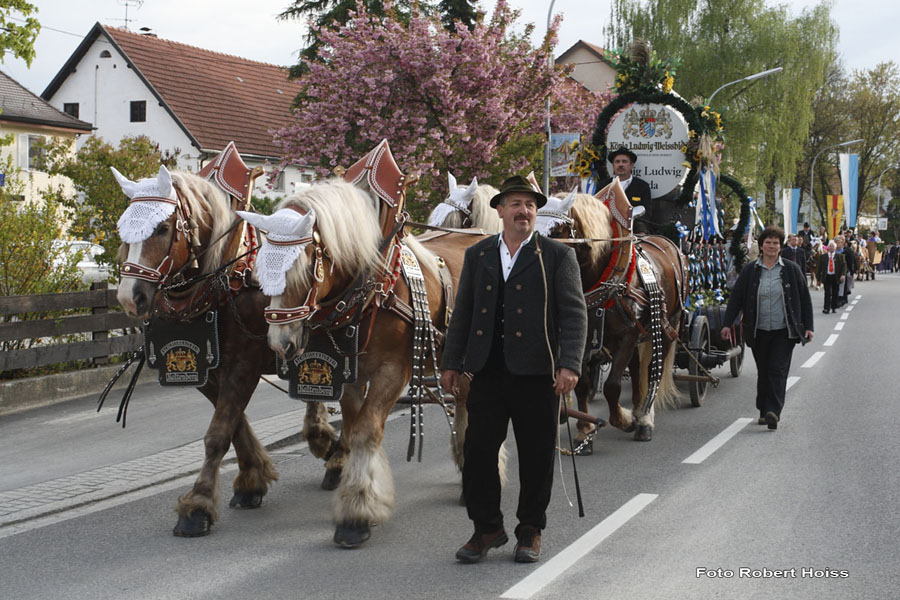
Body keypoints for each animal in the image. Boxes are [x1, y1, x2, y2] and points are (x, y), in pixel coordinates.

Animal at [112, 165, 338, 540]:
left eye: (161, 228)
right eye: (123, 230)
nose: (130, 297)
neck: (229, 278)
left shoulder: (244, 364)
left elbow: (218, 433)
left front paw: (197, 506)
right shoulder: (208, 369)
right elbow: (232, 424)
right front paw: (251, 480)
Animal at [236, 176, 482, 548]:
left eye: (304, 269)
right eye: (261, 267)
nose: (280, 343)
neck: (371, 292)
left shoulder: (393, 373)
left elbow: (367, 431)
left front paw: (357, 513)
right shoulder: (350, 375)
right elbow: (353, 430)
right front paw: (358, 487)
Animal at [536, 183, 688, 450]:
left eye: (557, 229)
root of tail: (667, 243)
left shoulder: (627, 336)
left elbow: (612, 386)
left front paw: (624, 420)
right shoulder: (585, 338)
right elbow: (582, 385)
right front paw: (585, 431)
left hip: (668, 326)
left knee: (653, 371)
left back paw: (644, 419)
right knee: (637, 369)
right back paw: (637, 409)